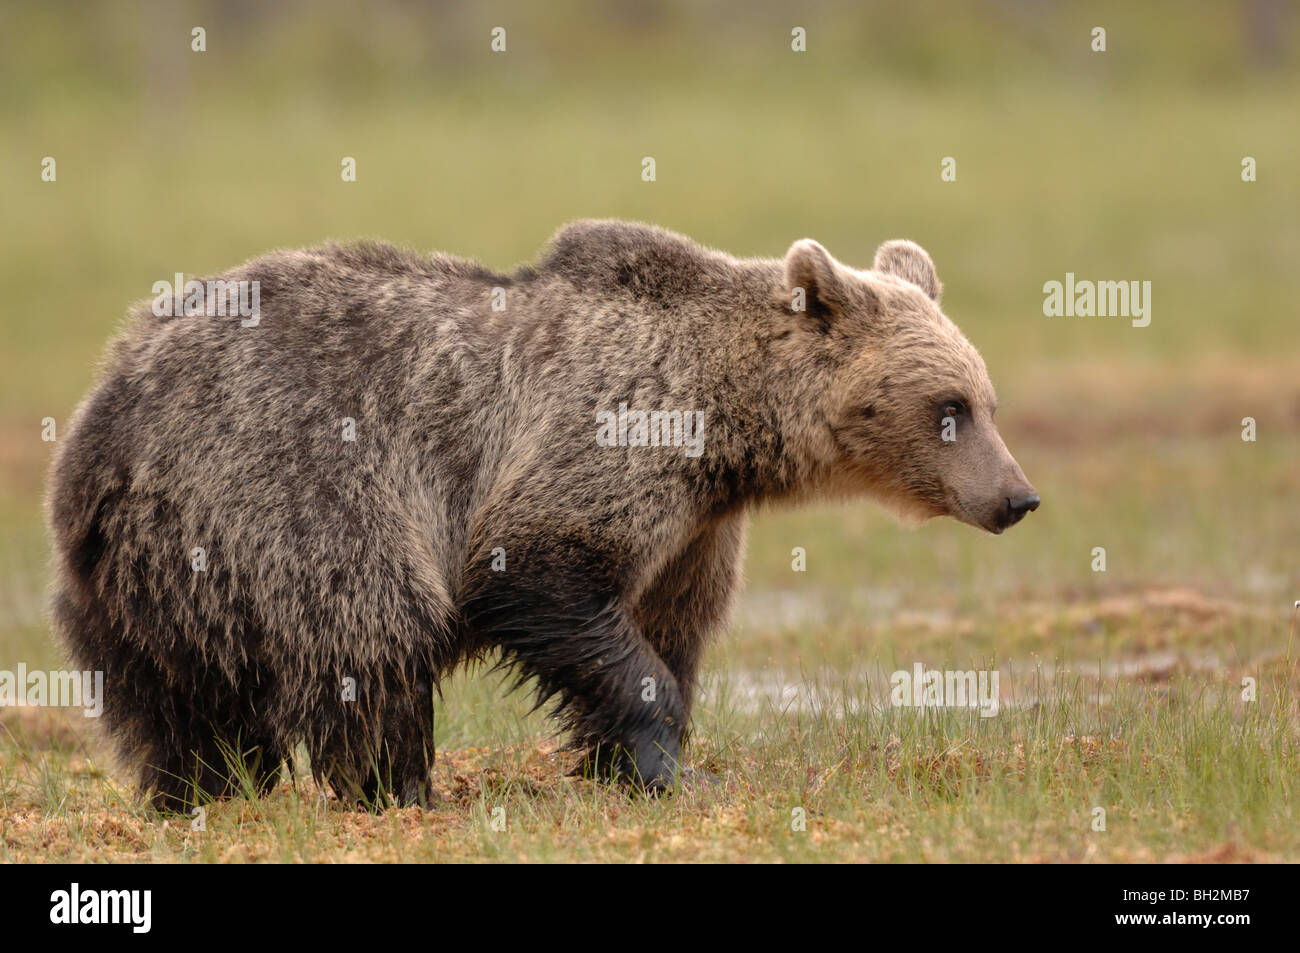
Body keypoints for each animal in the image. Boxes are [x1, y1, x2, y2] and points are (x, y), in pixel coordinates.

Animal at [45, 219, 1034, 806]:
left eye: (986, 399)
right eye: (949, 407)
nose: (1017, 497)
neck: (725, 429)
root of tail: (100, 418)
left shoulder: (695, 527)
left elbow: (667, 626)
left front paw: (616, 761)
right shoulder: (604, 440)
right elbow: (539, 570)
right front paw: (655, 757)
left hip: (158, 569)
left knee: (178, 699)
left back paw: (207, 790)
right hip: (290, 485)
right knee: (370, 632)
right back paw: (394, 788)